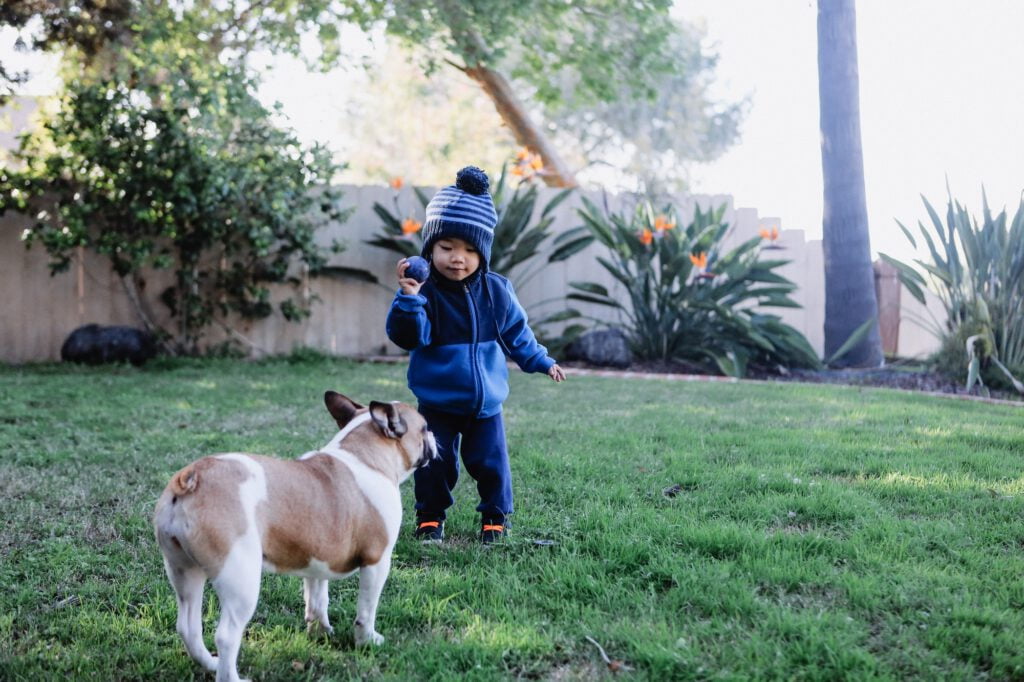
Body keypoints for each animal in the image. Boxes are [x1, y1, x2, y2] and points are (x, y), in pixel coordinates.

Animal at [152, 387, 436, 679]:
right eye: (425, 428)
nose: (434, 436)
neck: (365, 455)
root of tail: (191, 478)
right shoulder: (377, 561)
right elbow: (366, 608)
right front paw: (367, 641)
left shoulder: (318, 559)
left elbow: (318, 598)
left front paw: (321, 631)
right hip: (239, 577)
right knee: (227, 635)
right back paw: (231, 676)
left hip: (183, 570)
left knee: (188, 627)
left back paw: (210, 663)